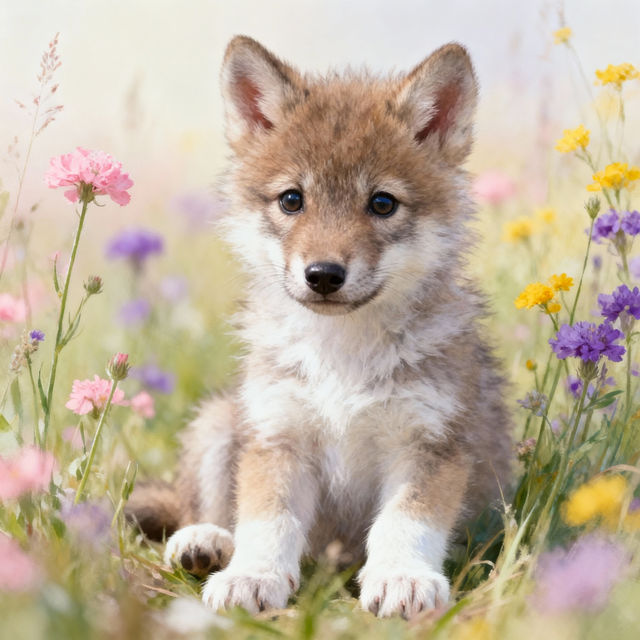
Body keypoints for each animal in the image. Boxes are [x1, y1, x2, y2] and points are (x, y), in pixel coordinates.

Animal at [127, 35, 511, 619]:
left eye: (382, 203)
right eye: (292, 199)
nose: (324, 275)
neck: (343, 356)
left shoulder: (429, 444)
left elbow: (406, 523)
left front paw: (401, 577)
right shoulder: (279, 438)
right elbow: (268, 522)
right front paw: (254, 576)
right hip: (220, 424)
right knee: (202, 509)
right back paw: (206, 543)